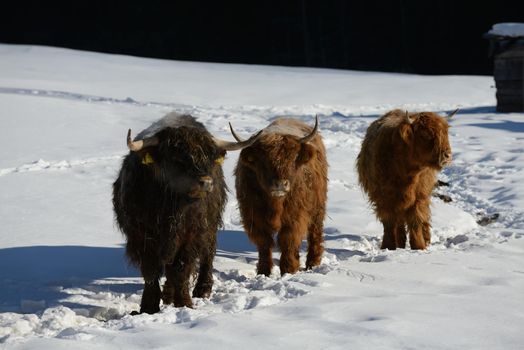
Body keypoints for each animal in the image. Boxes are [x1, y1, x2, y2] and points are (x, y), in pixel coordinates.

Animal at [112, 113, 258, 314]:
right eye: (176, 157)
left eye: (209, 156)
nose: (206, 182)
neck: (171, 208)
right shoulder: (141, 237)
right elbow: (150, 271)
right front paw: (148, 307)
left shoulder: (191, 236)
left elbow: (181, 268)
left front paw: (185, 303)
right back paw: (167, 294)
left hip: (210, 225)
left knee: (207, 253)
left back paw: (202, 289)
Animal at [233, 117, 328, 276]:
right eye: (263, 161)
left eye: (293, 158)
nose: (280, 184)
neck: (275, 204)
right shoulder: (253, 217)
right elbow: (264, 242)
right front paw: (264, 272)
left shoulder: (295, 217)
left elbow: (288, 240)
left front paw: (288, 271)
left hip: (317, 207)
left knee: (315, 233)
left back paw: (312, 264)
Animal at [356, 108, 454, 249]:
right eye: (425, 135)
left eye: (445, 133)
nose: (447, 155)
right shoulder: (383, 197)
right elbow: (389, 222)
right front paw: (388, 246)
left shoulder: (419, 197)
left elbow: (416, 220)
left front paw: (419, 246)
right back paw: (401, 242)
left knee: (422, 217)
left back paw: (425, 239)